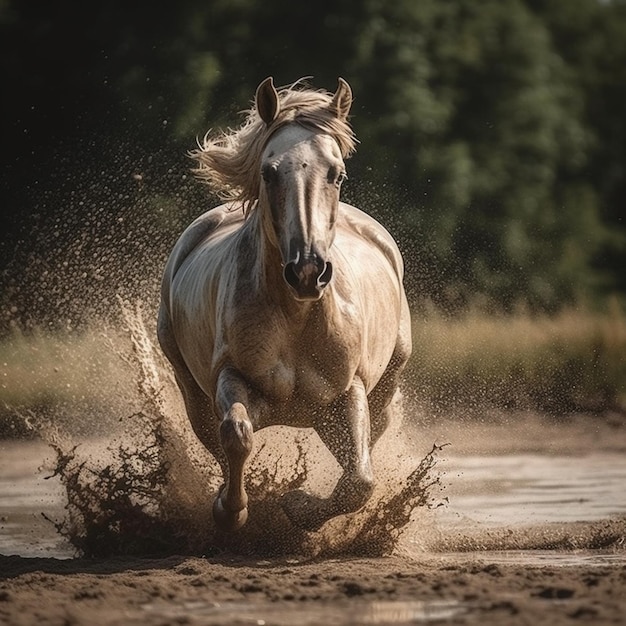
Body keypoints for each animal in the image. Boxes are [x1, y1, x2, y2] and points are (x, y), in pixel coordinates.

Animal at [157, 75, 410, 528]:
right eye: (269, 171)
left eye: (337, 174)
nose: (307, 270)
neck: (298, 315)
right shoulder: (230, 376)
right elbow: (236, 435)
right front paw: (231, 510)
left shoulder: (349, 392)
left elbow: (360, 480)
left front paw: (298, 506)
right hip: (191, 389)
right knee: (215, 437)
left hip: (381, 388)